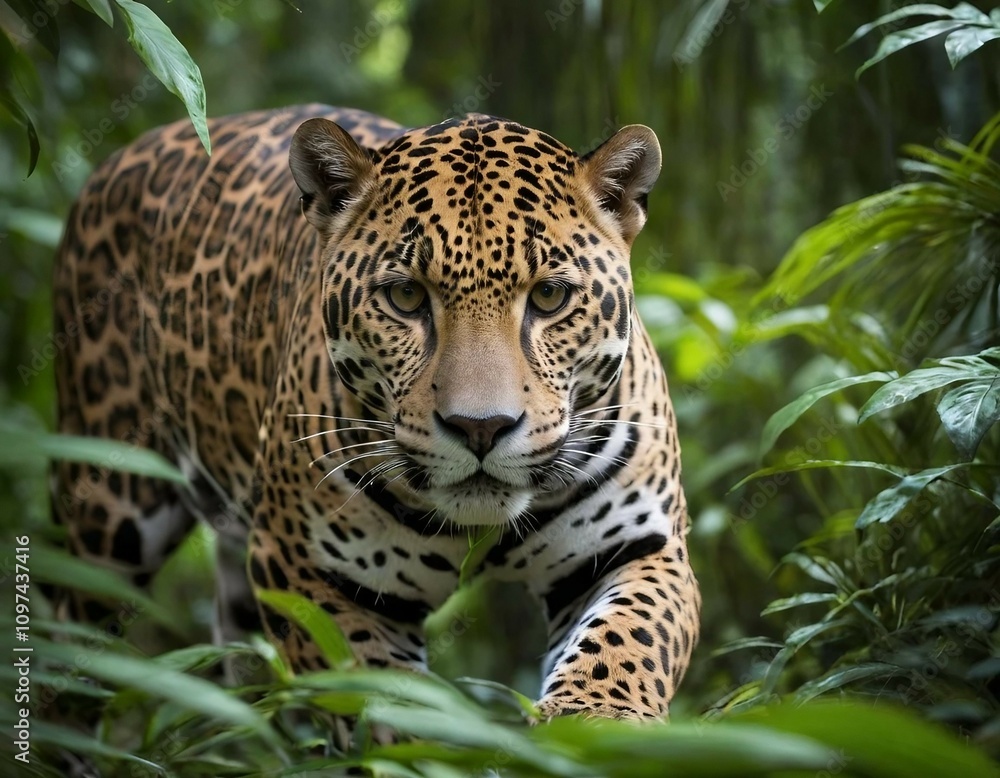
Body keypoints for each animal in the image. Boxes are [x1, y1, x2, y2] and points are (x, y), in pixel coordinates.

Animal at [51, 104, 700, 728]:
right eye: (406, 297)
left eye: (549, 297)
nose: (481, 428)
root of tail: (118, 160)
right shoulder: (310, 575)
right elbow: (382, 706)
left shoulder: (638, 547)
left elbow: (628, 640)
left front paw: (596, 722)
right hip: (108, 516)